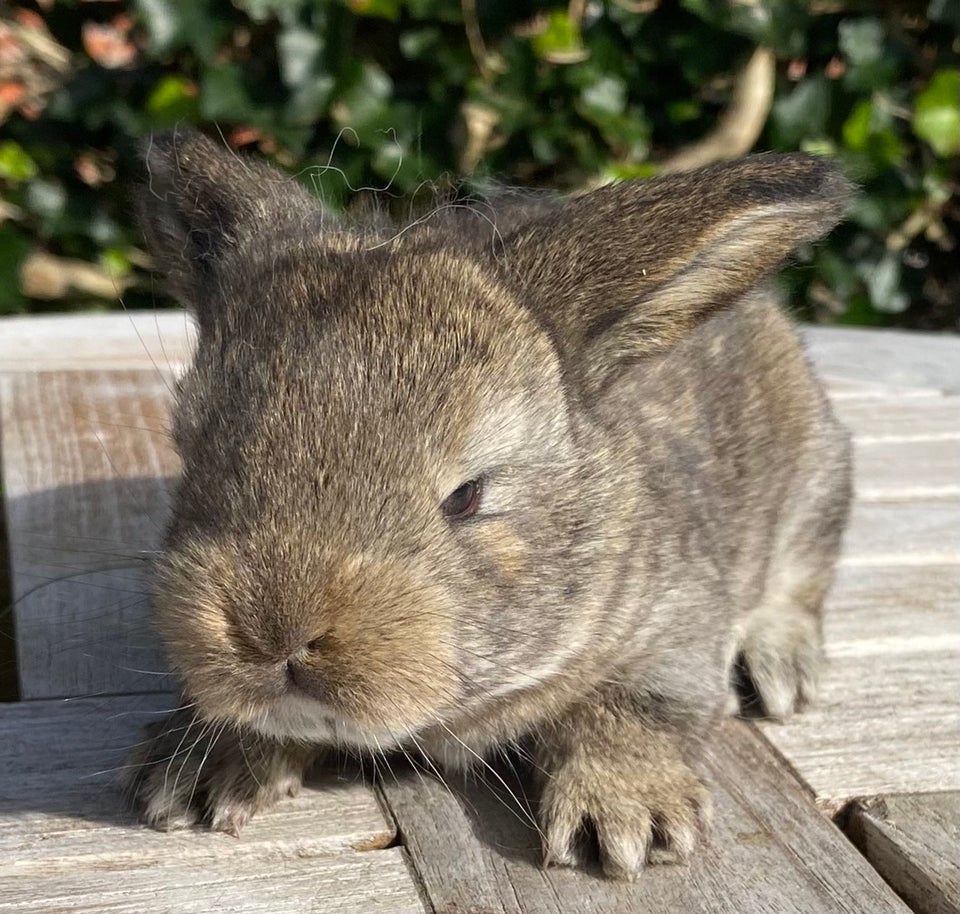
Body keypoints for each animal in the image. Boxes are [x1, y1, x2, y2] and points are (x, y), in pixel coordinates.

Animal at [124, 128, 852, 876]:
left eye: (467, 496)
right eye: (192, 453)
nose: (273, 638)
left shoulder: (677, 621)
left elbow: (636, 705)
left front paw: (625, 815)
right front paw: (202, 772)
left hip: (815, 485)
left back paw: (781, 667)